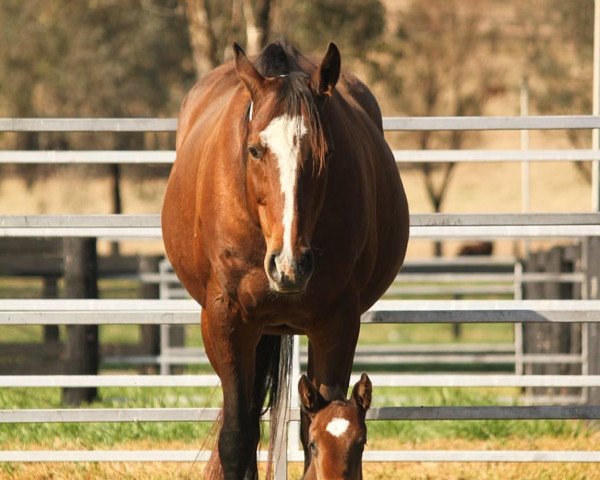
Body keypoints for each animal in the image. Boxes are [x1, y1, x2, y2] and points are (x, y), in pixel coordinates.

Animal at [162, 41, 410, 480]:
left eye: (326, 153)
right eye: (255, 150)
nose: (289, 264)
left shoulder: (338, 321)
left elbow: (324, 421)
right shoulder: (224, 320)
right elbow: (237, 436)